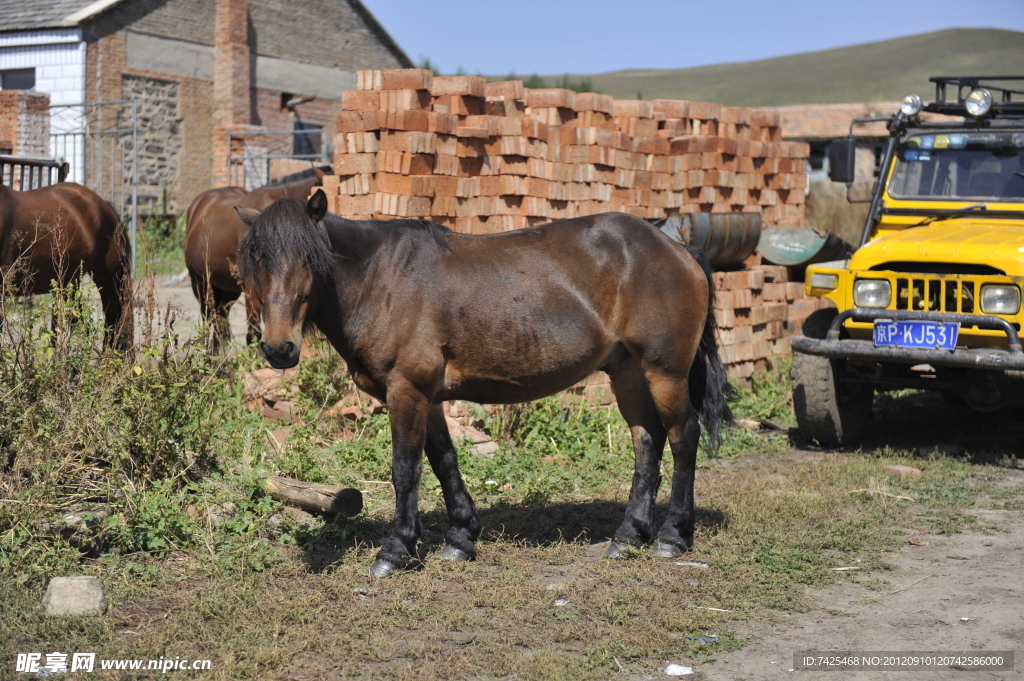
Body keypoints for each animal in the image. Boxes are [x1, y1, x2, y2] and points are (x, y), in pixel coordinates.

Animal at [182, 164, 327, 346]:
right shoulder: (252, 291)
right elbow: (254, 335)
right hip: (200, 284)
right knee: (209, 322)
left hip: (227, 288)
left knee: (220, 324)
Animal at [235, 188, 733, 577]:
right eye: (257, 259)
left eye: (308, 257)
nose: (279, 349)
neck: (381, 279)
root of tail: (678, 248)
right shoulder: (428, 396)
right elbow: (443, 461)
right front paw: (460, 539)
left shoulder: (406, 391)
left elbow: (405, 469)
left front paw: (395, 550)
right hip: (627, 372)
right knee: (647, 441)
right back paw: (628, 537)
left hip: (664, 371)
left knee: (682, 438)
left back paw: (672, 537)